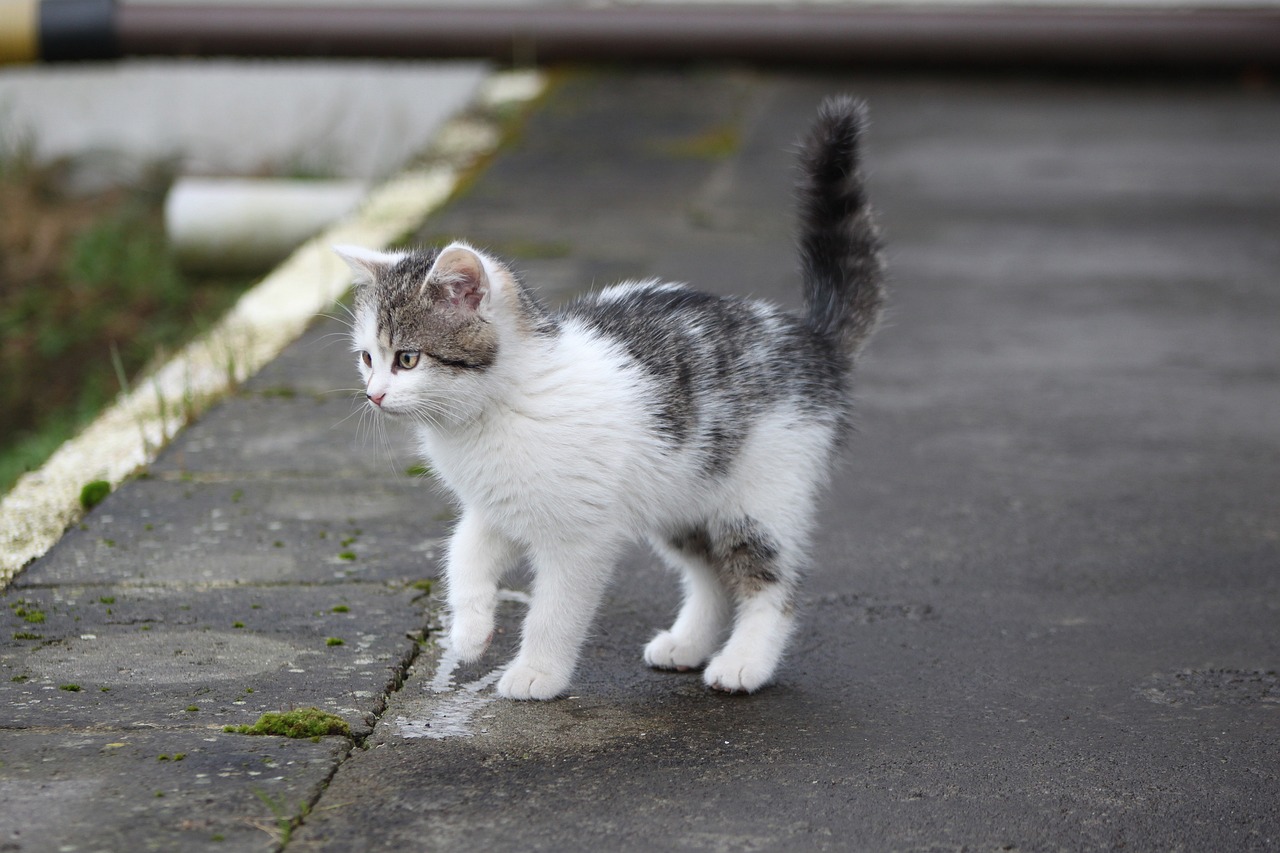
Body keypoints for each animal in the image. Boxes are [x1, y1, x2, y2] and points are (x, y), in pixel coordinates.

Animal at [335, 97, 885, 696]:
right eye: (367, 358)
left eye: (408, 359)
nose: (374, 395)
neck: (498, 409)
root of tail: (812, 338)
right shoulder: (492, 506)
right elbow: (465, 555)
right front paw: (471, 631)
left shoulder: (579, 535)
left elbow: (555, 607)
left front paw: (536, 672)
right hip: (681, 495)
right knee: (711, 575)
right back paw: (686, 644)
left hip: (759, 494)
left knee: (769, 579)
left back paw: (745, 662)